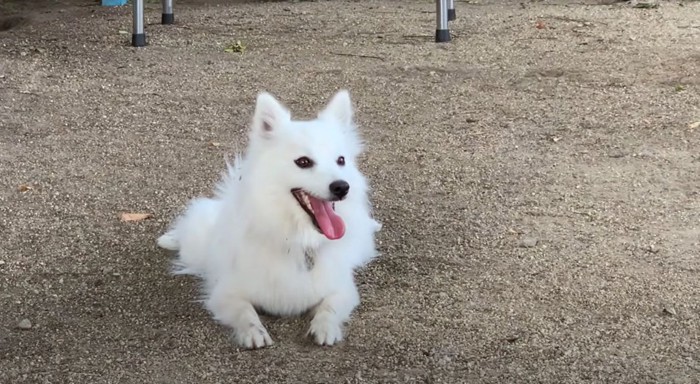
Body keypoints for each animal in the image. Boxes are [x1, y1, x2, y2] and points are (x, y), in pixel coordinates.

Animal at [158, 89, 380, 348]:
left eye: (341, 160)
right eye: (303, 162)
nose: (342, 187)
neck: (297, 241)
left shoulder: (342, 289)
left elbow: (330, 307)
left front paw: (325, 328)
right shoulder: (225, 292)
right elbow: (244, 311)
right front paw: (253, 332)